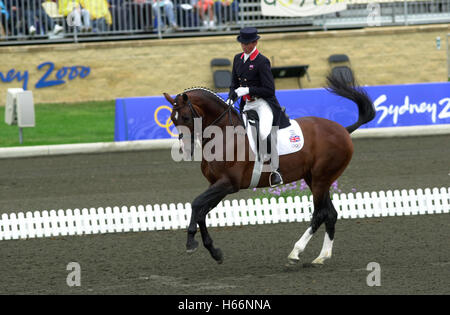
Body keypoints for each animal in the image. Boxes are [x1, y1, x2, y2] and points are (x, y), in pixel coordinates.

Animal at [163, 74, 374, 266]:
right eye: (173, 120)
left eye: (186, 117)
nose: (185, 150)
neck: (225, 135)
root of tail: (343, 130)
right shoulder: (216, 184)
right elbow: (201, 211)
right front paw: (214, 251)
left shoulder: (228, 184)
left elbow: (196, 204)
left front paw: (191, 243)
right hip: (315, 179)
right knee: (330, 213)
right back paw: (321, 257)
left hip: (321, 179)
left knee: (320, 214)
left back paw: (295, 253)